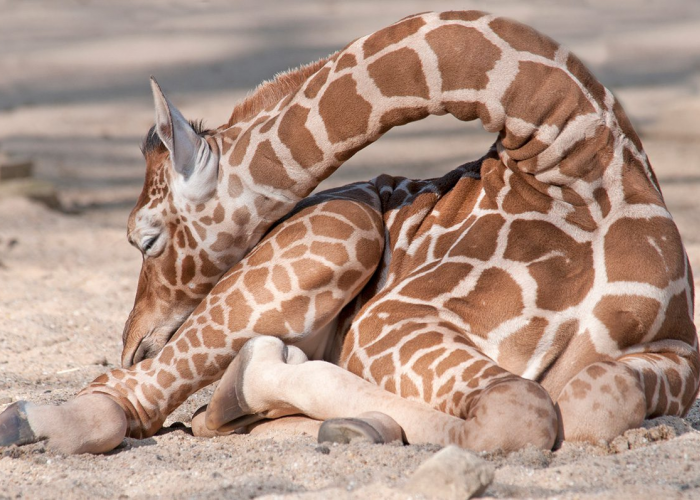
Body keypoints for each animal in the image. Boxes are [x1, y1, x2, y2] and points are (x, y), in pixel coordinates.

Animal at [1, 9, 700, 456]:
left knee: (190, 408)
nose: (133, 341)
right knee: (129, 397)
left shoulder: (678, 352)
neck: (576, 163)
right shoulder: (391, 322)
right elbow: (523, 416)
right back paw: (43, 418)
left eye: (143, 238)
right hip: (346, 227)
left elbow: (591, 401)